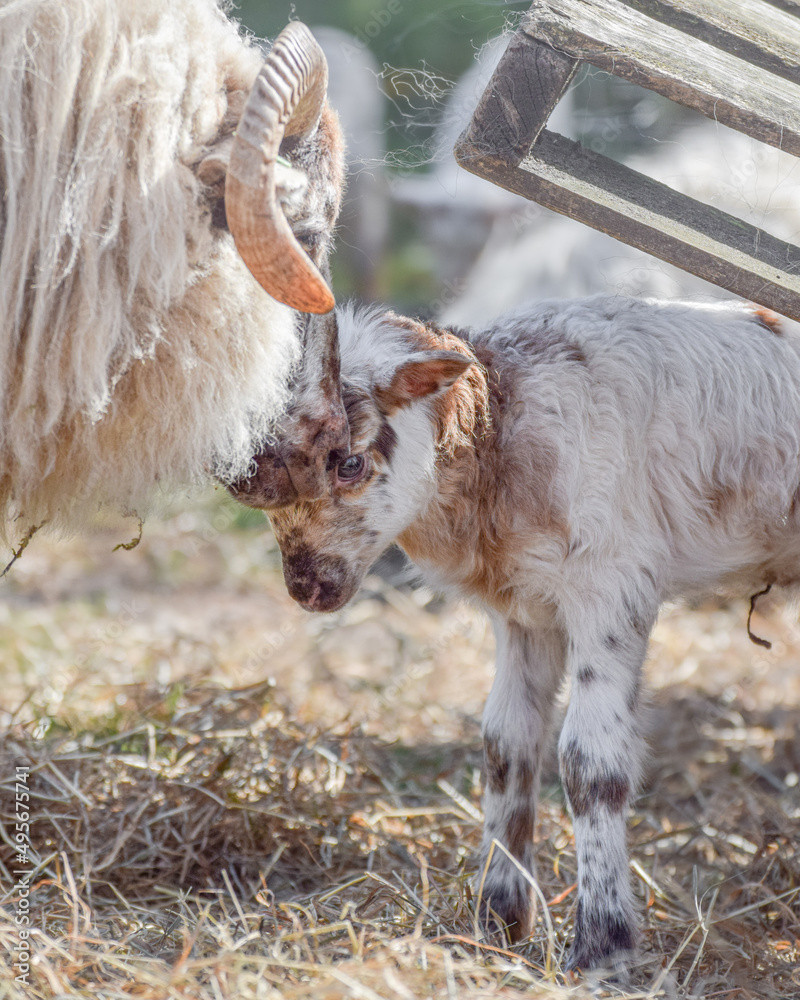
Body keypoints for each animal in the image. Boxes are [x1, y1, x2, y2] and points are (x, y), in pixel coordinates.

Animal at [231, 294, 800, 973]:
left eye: (349, 464)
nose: (307, 588)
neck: (502, 428)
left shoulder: (611, 587)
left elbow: (590, 762)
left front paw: (602, 947)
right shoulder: (526, 611)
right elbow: (506, 746)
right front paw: (495, 923)